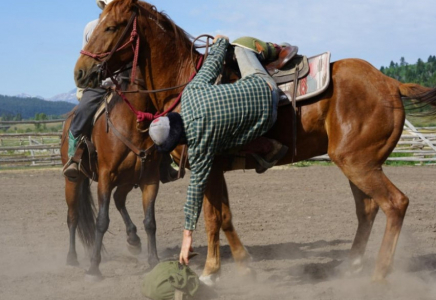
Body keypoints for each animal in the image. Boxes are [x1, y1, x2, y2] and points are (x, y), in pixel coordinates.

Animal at [72, 0, 436, 284]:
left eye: (112, 27)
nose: (80, 71)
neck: (184, 81)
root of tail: (389, 82)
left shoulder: (207, 164)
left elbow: (212, 218)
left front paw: (211, 271)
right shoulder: (214, 168)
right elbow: (224, 216)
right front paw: (241, 267)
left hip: (358, 163)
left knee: (395, 204)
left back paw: (379, 275)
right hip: (356, 163)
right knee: (368, 209)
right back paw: (352, 267)